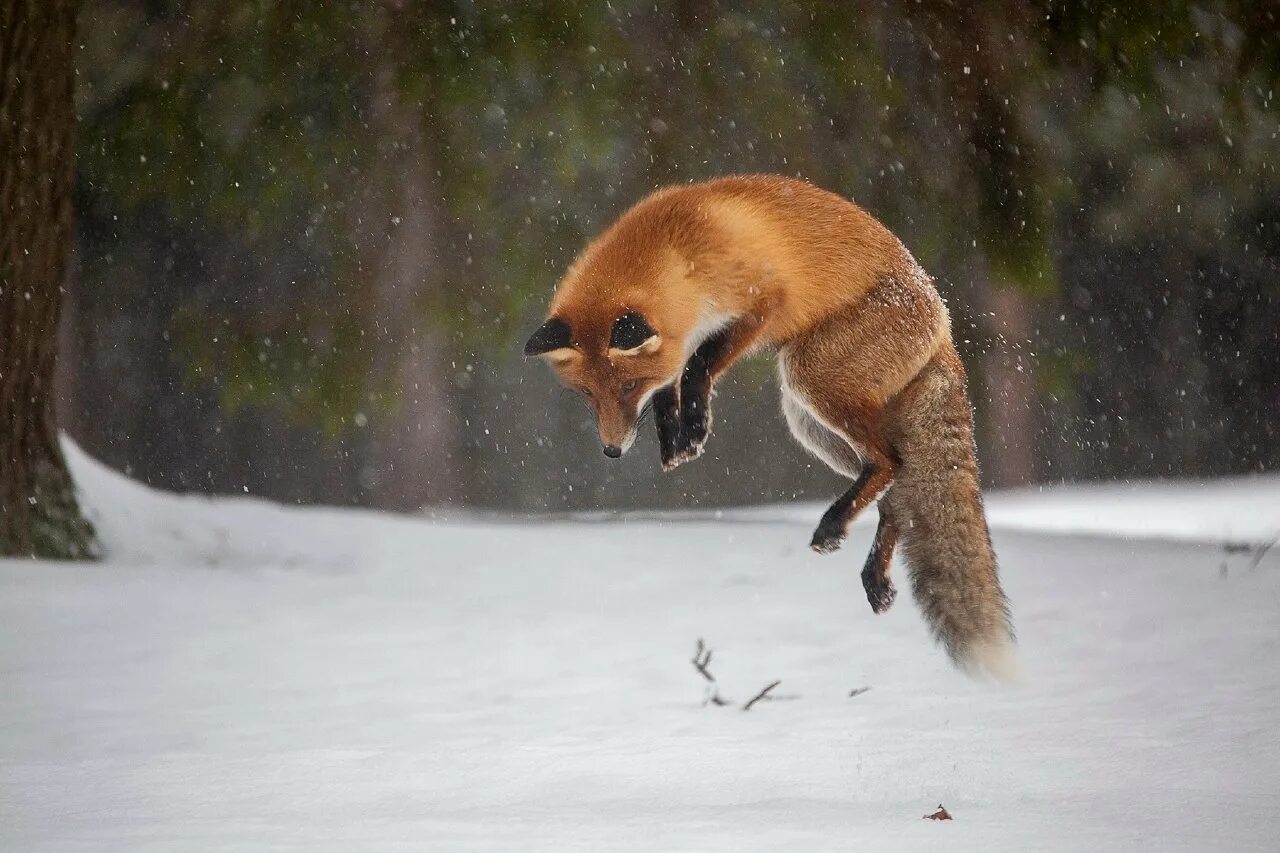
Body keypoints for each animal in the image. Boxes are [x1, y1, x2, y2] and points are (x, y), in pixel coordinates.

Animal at [524, 172, 1013, 676]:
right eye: (587, 394)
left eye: (626, 386)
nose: (612, 450)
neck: (678, 252)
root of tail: (945, 326)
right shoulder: (686, 337)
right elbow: (669, 388)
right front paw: (675, 439)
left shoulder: (761, 303)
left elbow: (697, 367)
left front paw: (694, 428)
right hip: (808, 422)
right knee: (894, 491)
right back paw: (873, 573)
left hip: (807, 373)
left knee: (889, 462)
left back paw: (833, 526)